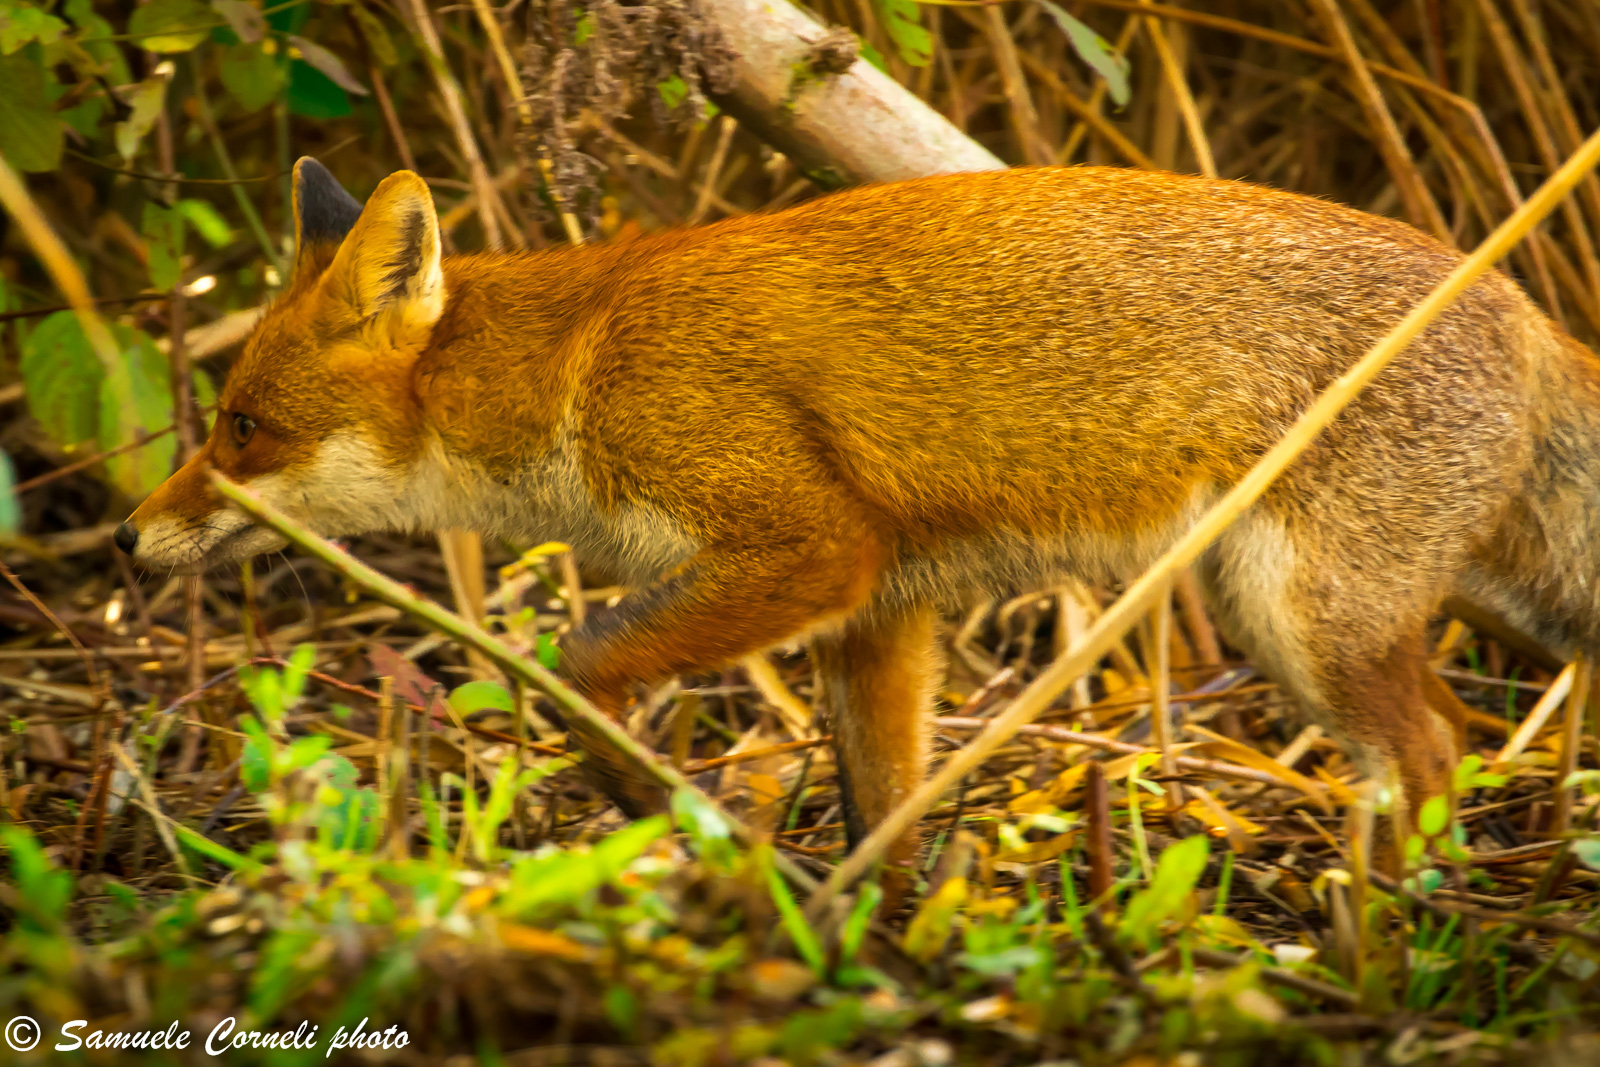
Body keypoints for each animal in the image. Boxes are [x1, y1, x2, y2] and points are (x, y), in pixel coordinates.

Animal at [120, 156, 1600, 872]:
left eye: (240, 428)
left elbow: (578, 662)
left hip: (1302, 619)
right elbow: (881, 811)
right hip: (1306, 614)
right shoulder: (879, 614)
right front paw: (861, 943)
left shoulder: (809, 547)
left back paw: (1386, 958)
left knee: (1434, 750)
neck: (584, 362)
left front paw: (665, 805)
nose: (133, 535)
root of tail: (1526, 309)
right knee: (1453, 742)